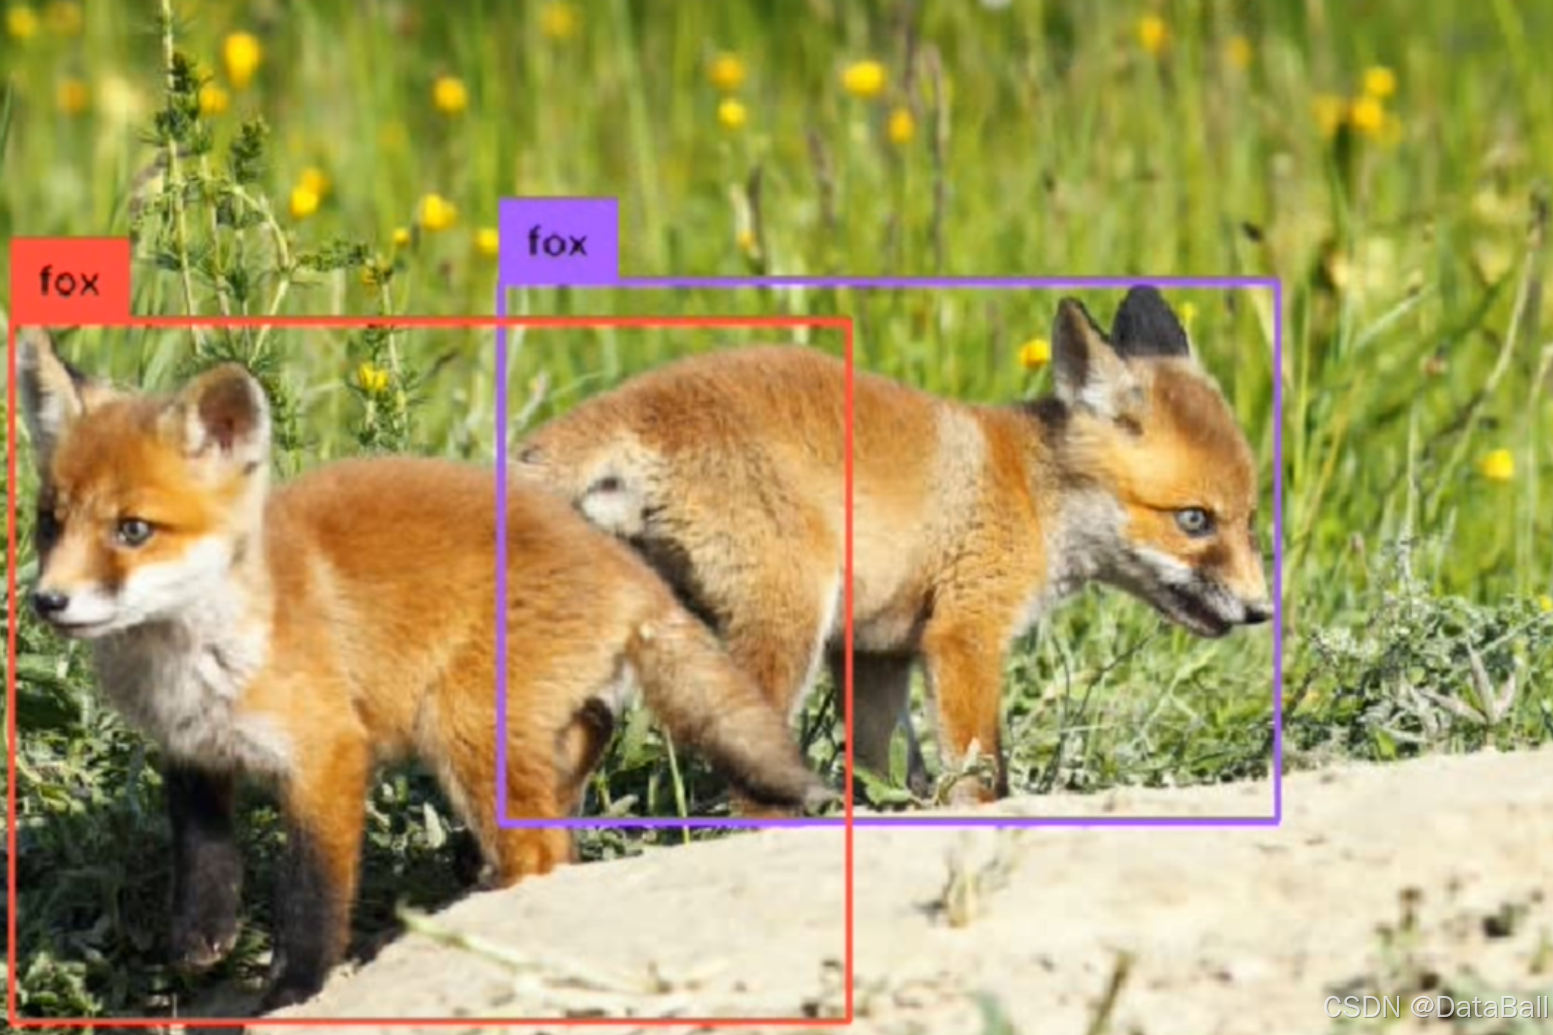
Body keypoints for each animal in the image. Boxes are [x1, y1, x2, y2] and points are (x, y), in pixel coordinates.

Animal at [16, 329, 828, 1013]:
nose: (47, 600)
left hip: (462, 724)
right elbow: (203, 852)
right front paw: (201, 936)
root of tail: (630, 570)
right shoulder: (192, 750)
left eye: (133, 530)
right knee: (578, 761)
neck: (192, 660)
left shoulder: (329, 755)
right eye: (49, 522)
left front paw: (293, 987)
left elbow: (312, 891)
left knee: (541, 850)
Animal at [512, 287, 1272, 804]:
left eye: (1248, 519)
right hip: (786, 628)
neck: (1031, 494)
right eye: (1194, 520)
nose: (1261, 611)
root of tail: (626, 406)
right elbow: (978, 774)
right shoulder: (964, 633)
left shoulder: (874, 653)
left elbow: (879, 764)